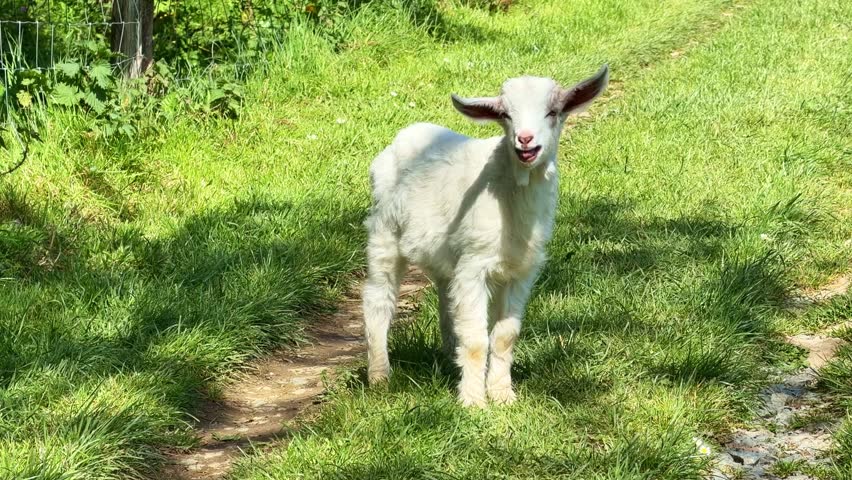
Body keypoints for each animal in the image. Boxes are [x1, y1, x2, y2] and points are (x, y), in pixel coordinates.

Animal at [363, 65, 609, 406]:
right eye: (506, 115)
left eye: (553, 112)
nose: (525, 140)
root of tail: (404, 134)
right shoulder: (473, 265)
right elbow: (477, 339)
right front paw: (473, 402)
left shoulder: (522, 269)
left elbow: (505, 336)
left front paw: (503, 394)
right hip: (384, 232)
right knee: (378, 298)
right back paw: (379, 377)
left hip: (443, 255)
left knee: (446, 299)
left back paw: (448, 357)